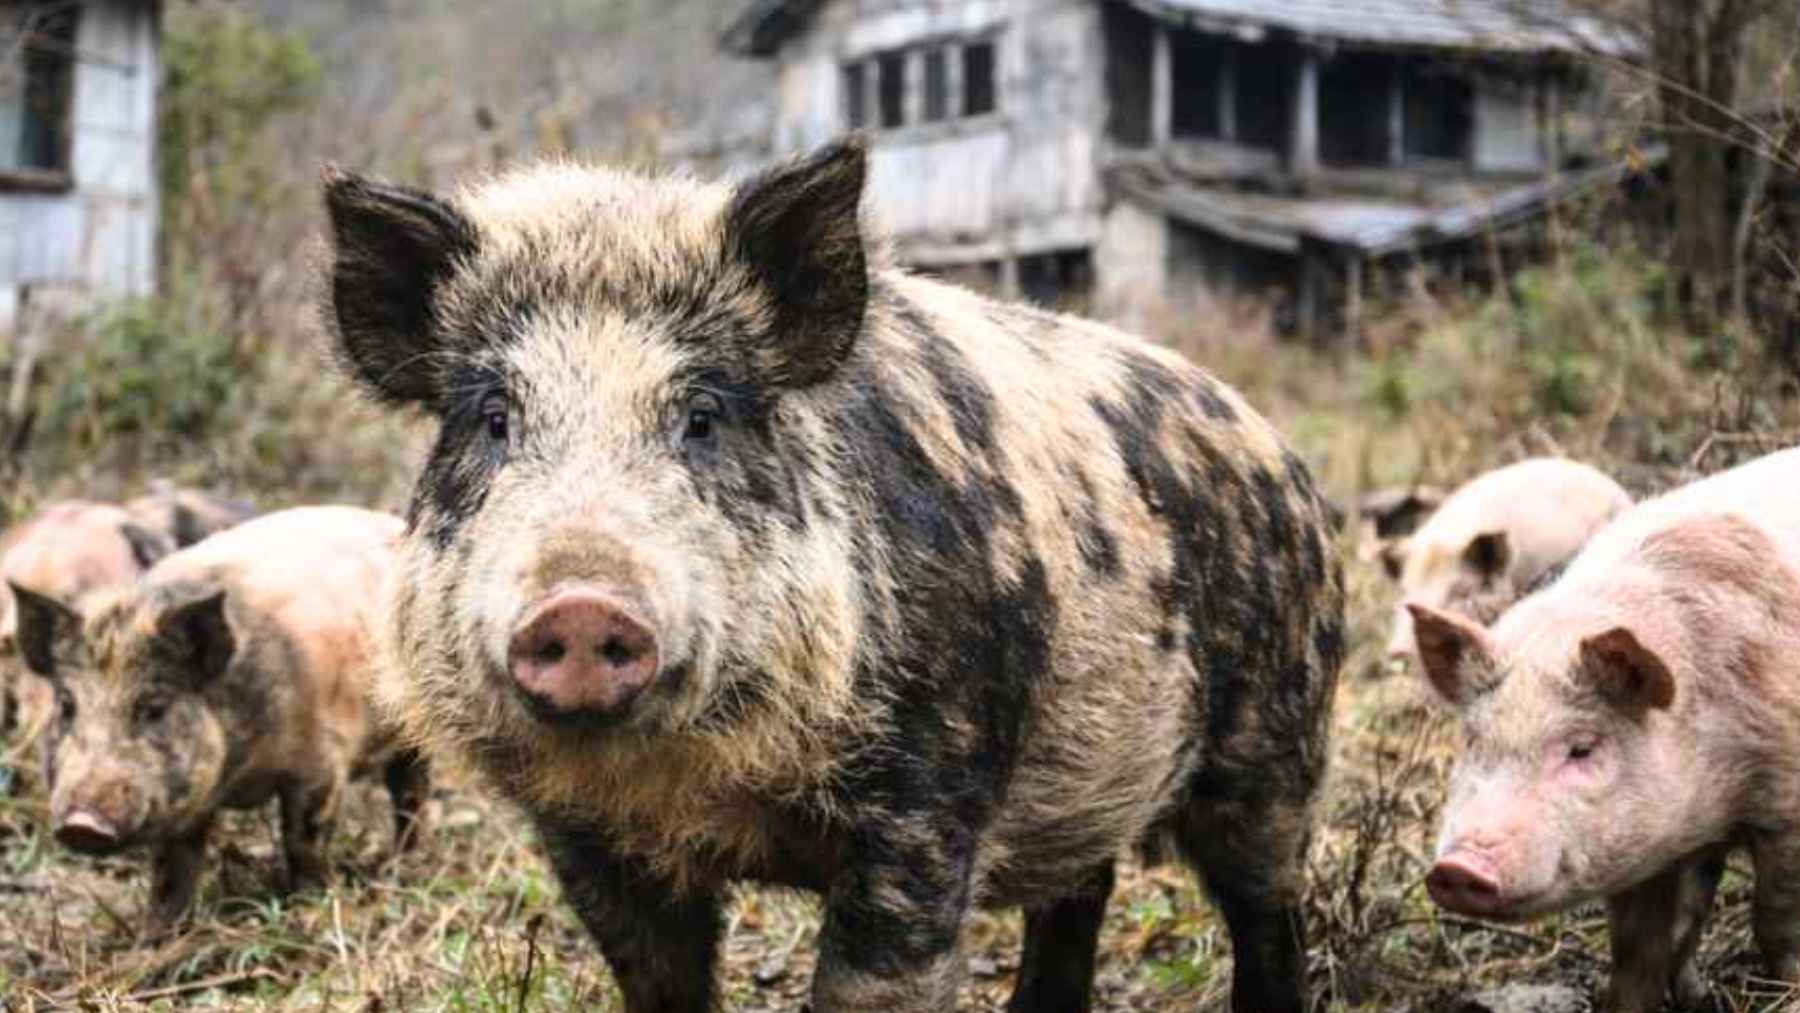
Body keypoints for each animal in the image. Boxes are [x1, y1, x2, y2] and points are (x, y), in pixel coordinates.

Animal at [322, 138, 1345, 1013]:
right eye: (493, 417)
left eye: (704, 414)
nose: (580, 602)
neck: (703, 794)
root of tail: (1280, 454)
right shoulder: (587, 841)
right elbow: (659, 978)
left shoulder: (931, 798)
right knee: (1079, 888)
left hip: (1275, 741)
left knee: (1265, 907)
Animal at [1411, 446, 1800, 1013]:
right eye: (1472, 740)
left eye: (1581, 748)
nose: (1459, 868)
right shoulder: (1654, 850)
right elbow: (1642, 949)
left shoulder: (1785, 802)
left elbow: (1776, 920)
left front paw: (1787, 989)